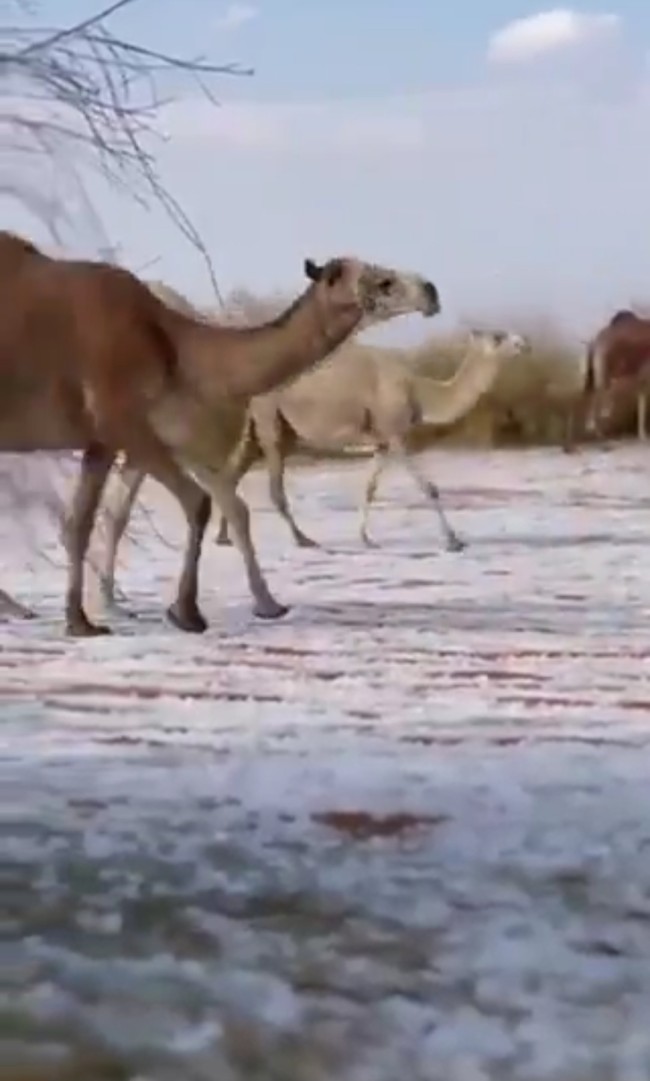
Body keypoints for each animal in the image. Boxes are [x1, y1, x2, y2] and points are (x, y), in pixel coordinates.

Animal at [0, 230, 439, 631]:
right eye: (382, 281)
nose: (430, 291)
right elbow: (200, 504)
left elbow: (80, 524)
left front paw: (80, 621)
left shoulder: (103, 439)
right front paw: (187, 612)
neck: (174, 344)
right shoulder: (123, 420)